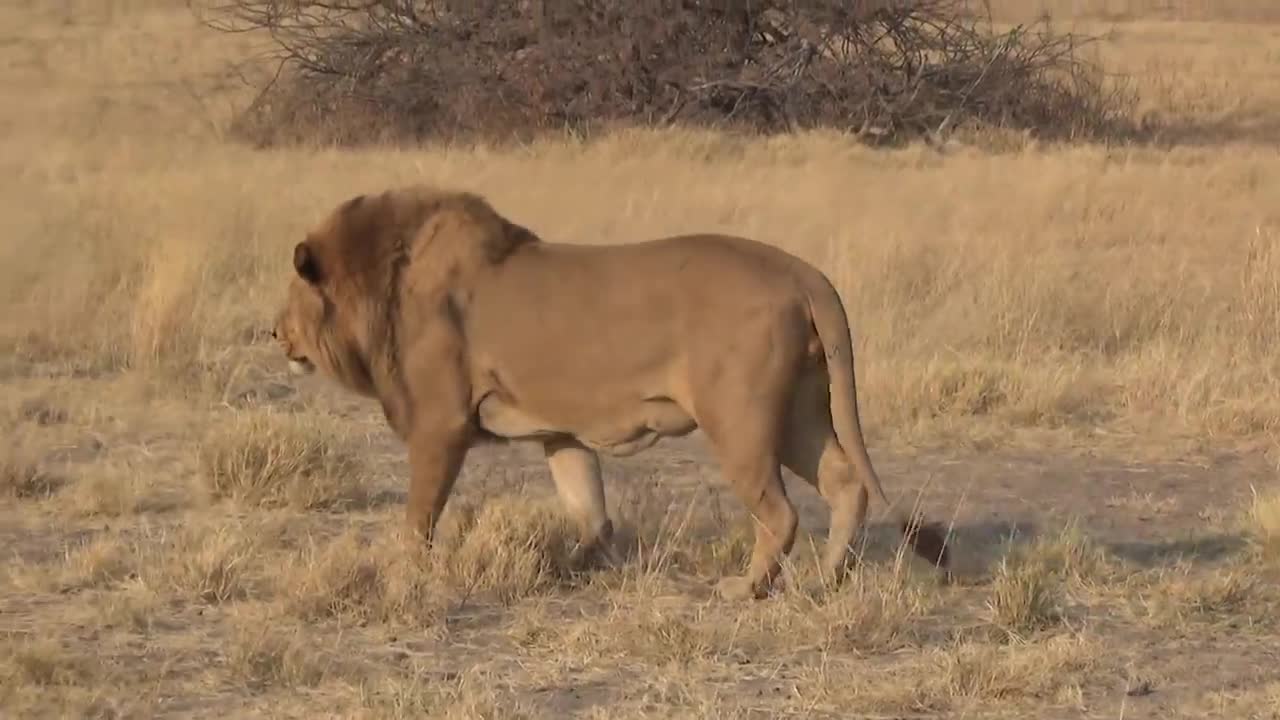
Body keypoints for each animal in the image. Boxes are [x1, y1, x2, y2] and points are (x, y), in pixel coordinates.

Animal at [270, 184, 952, 599]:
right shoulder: (557, 430)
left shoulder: (441, 423)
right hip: (798, 413)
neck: (381, 282)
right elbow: (588, 506)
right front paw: (575, 565)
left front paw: (405, 569)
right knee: (845, 481)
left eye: (292, 294)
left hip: (739, 417)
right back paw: (829, 578)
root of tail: (802, 271)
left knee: (780, 511)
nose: (271, 332)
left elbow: (420, 514)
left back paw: (747, 588)